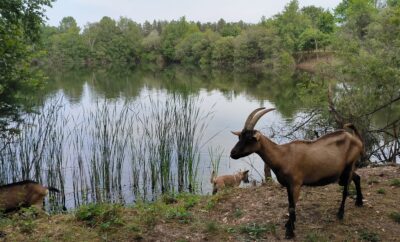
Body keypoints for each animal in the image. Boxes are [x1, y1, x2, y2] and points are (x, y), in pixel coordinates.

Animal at [230, 107, 364, 238]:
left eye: (249, 139)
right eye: (239, 137)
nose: (232, 153)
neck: (283, 155)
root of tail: (356, 139)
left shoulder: (296, 184)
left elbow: (292, 207)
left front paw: (290, 232)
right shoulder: (288, 185)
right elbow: (290, 203)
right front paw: (289, 224)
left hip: (349, 166)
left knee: (346, 190)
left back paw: (340, 214)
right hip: (345, 170)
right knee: (357, 178)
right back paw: (359, 202)